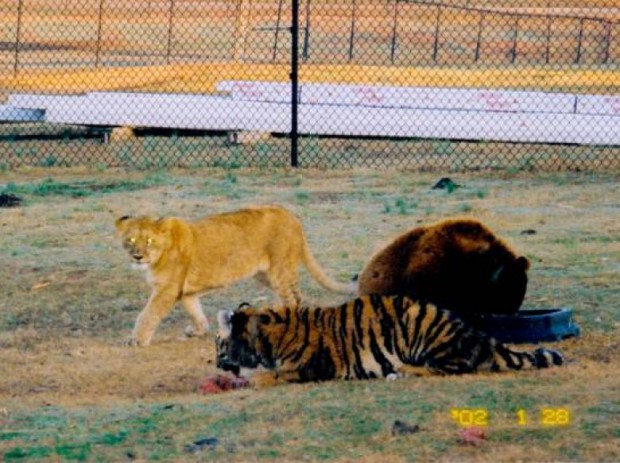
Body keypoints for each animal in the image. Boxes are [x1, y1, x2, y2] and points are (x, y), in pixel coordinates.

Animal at [115, 205, 354, 346]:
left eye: (148, 241)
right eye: (131, 240)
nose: (137, 256)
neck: (158, 256)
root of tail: (292, 217)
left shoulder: (167, 289)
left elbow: (148, 314)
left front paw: (136, 340)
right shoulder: (186, 292)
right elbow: (195, 312)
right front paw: (198, 331)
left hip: (279, 270)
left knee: (294, 298)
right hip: (264, 274)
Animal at [216, 294, 564, 388]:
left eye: (219, 344)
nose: (218, 365)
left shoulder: (311, 368)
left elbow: (271, 375)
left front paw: (250, 379)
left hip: (419, 327)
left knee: (449, 368)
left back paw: (401, 372)